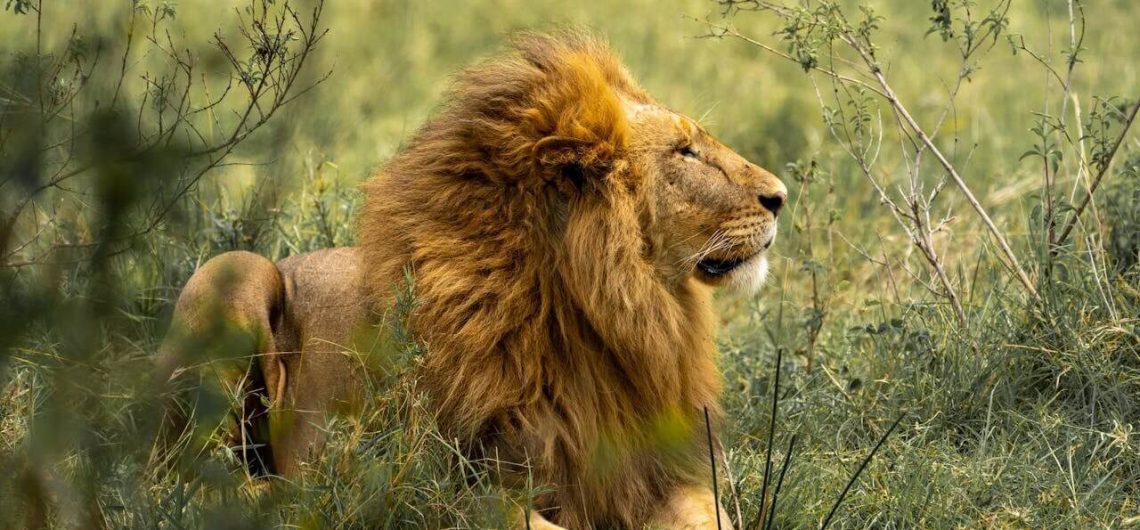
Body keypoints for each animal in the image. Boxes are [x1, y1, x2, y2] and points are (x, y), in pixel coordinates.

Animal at [157, 33, 787, 529]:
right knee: (184, 477)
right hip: (235, 271)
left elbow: (714, 517)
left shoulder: (655, 473)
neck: (604, 318)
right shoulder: (445, 485)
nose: (781, 197)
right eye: (686, 152)